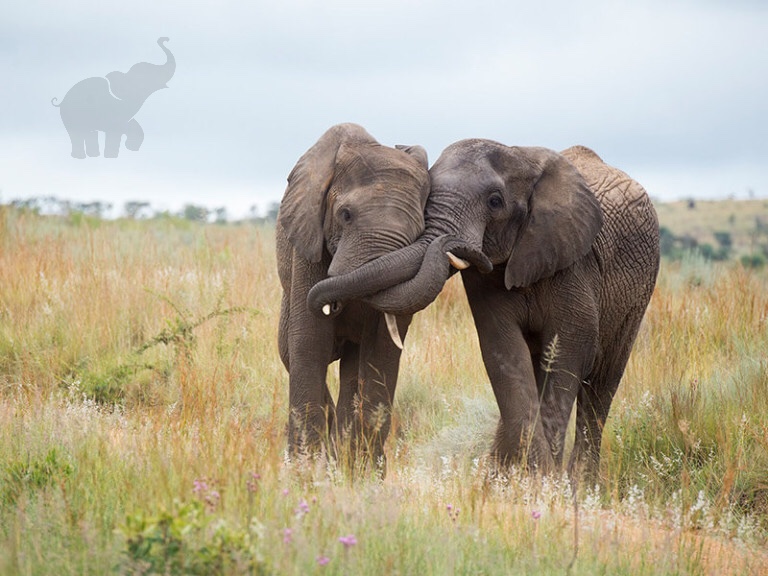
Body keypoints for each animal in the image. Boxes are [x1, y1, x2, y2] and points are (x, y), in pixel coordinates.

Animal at [276, 124, 438, 470]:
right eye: (346, 215)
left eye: (420, 232)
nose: (333, 303)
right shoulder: (308, 238)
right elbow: (309, 343)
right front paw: (305, 473)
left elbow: (383, 350)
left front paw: (365, 474)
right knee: (290, 353)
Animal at [308, 141, 664, 482]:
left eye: (495, 201)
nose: (453, 245)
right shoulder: (485, 281)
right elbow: (504, 354)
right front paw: (518, 482)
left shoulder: (575, 262)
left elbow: (569, 350)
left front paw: (544, 485)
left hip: (636, 297)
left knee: (601, 388)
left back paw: (582, 485)